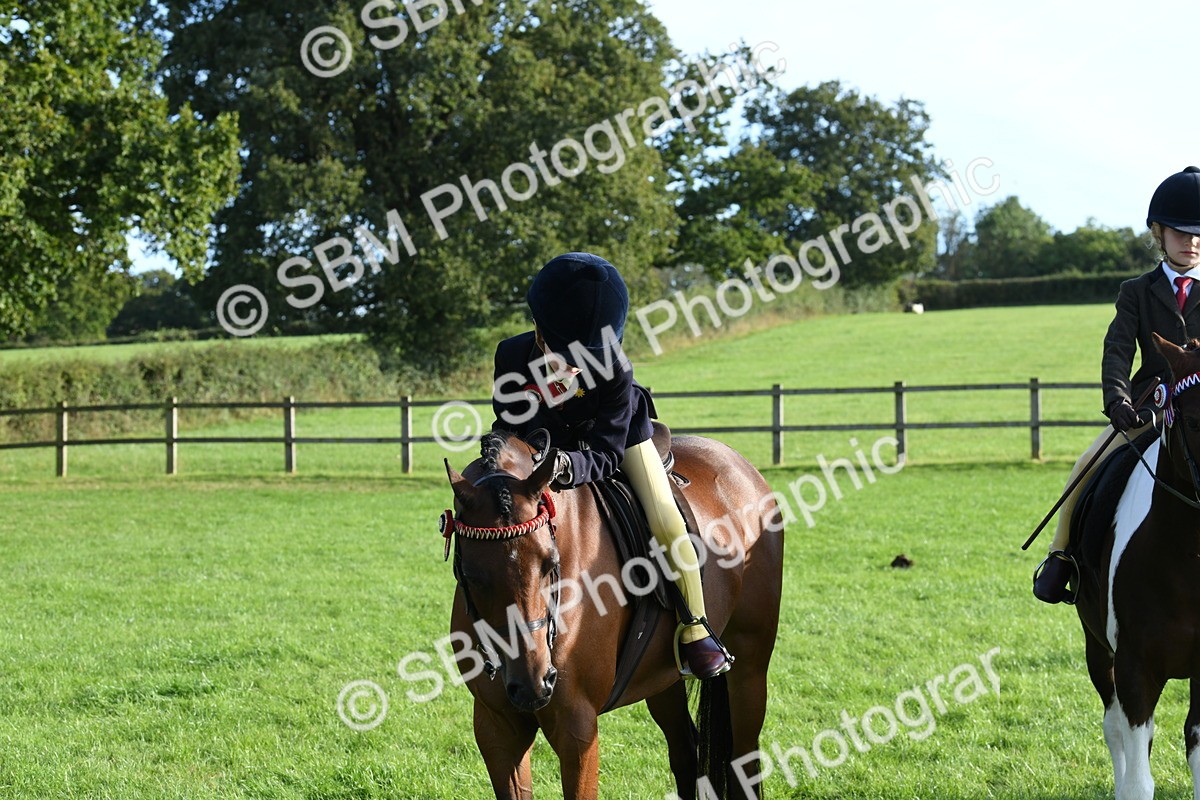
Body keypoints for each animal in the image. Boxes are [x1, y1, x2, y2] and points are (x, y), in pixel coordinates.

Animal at [439, 428, 784, 799]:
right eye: (471, 574)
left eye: (550, 563)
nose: (533, 684)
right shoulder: (496, 727)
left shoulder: (577, 728)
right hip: (662, 678)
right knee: (684, 752)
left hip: (749, 667)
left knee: (743, 761)